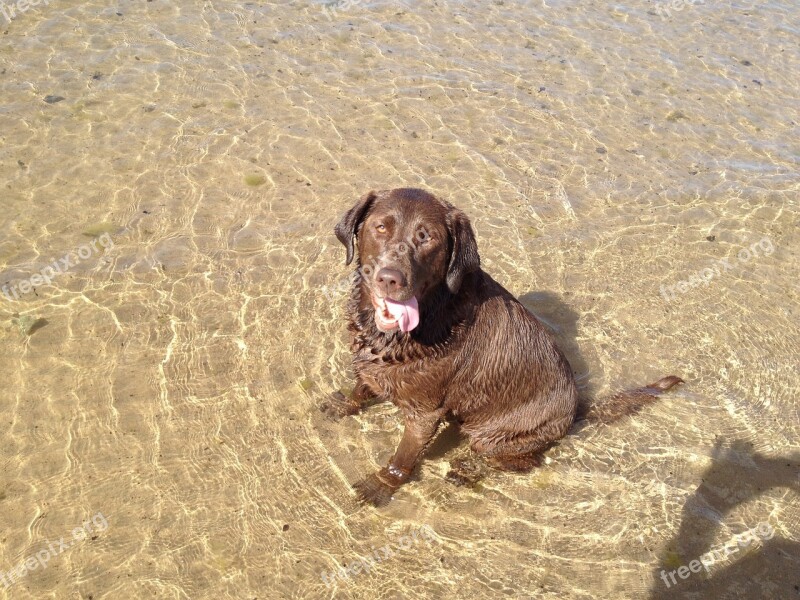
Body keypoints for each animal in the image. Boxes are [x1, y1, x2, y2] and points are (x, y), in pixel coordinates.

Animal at [324, 189, 680, 506]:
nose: (390, 278)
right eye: (380, 227)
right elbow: (361, 385)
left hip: (494, 436)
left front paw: (381, 485)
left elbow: (403, 459)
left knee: (520, 461)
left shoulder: (424, 414)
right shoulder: (372, 365)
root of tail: (577, 409)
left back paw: (466, 470)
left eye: (427, 238)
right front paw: (344, 405)